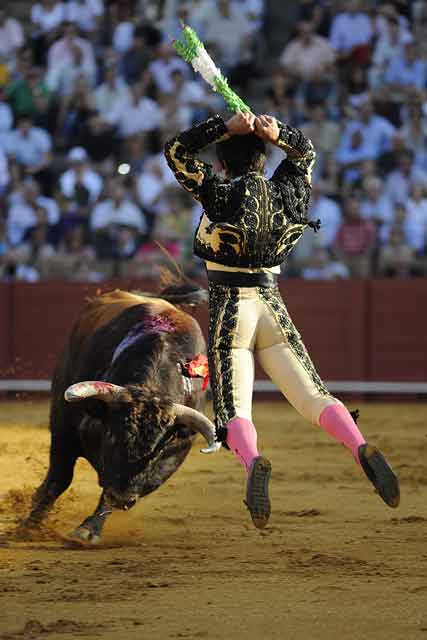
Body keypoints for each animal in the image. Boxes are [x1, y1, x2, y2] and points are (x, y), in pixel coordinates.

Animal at [23, 288, 217, 544]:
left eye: (158, 451)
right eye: (112, 436)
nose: (123, 497)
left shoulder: (171, 456)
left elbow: (112, 493)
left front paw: (88, 530)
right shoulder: (64, 429)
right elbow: (60, 478)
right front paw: (29, 525)